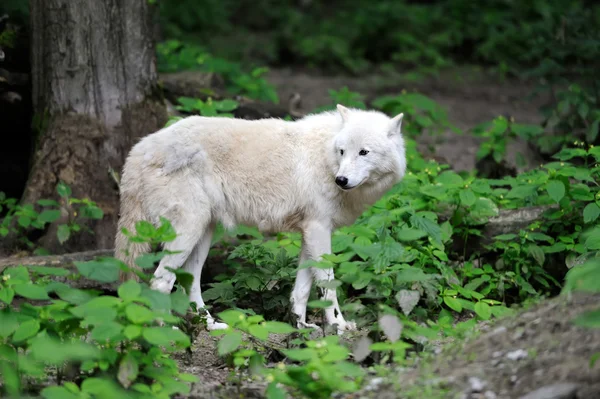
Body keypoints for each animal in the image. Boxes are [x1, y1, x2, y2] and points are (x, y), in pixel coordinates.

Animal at [115, 105, 406, 334]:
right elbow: (328, 284)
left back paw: (210, 325)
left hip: (203, 233)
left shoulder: (311, 232)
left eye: (364, 152)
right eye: (343, 151)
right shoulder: (319, 229)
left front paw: (301, 326)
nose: (341, 180)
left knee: (190, 283)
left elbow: (302, 289)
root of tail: (137, 151)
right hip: (187, 232)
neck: (325, 156)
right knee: (160, 282)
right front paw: (338, 326)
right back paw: (167, 331)